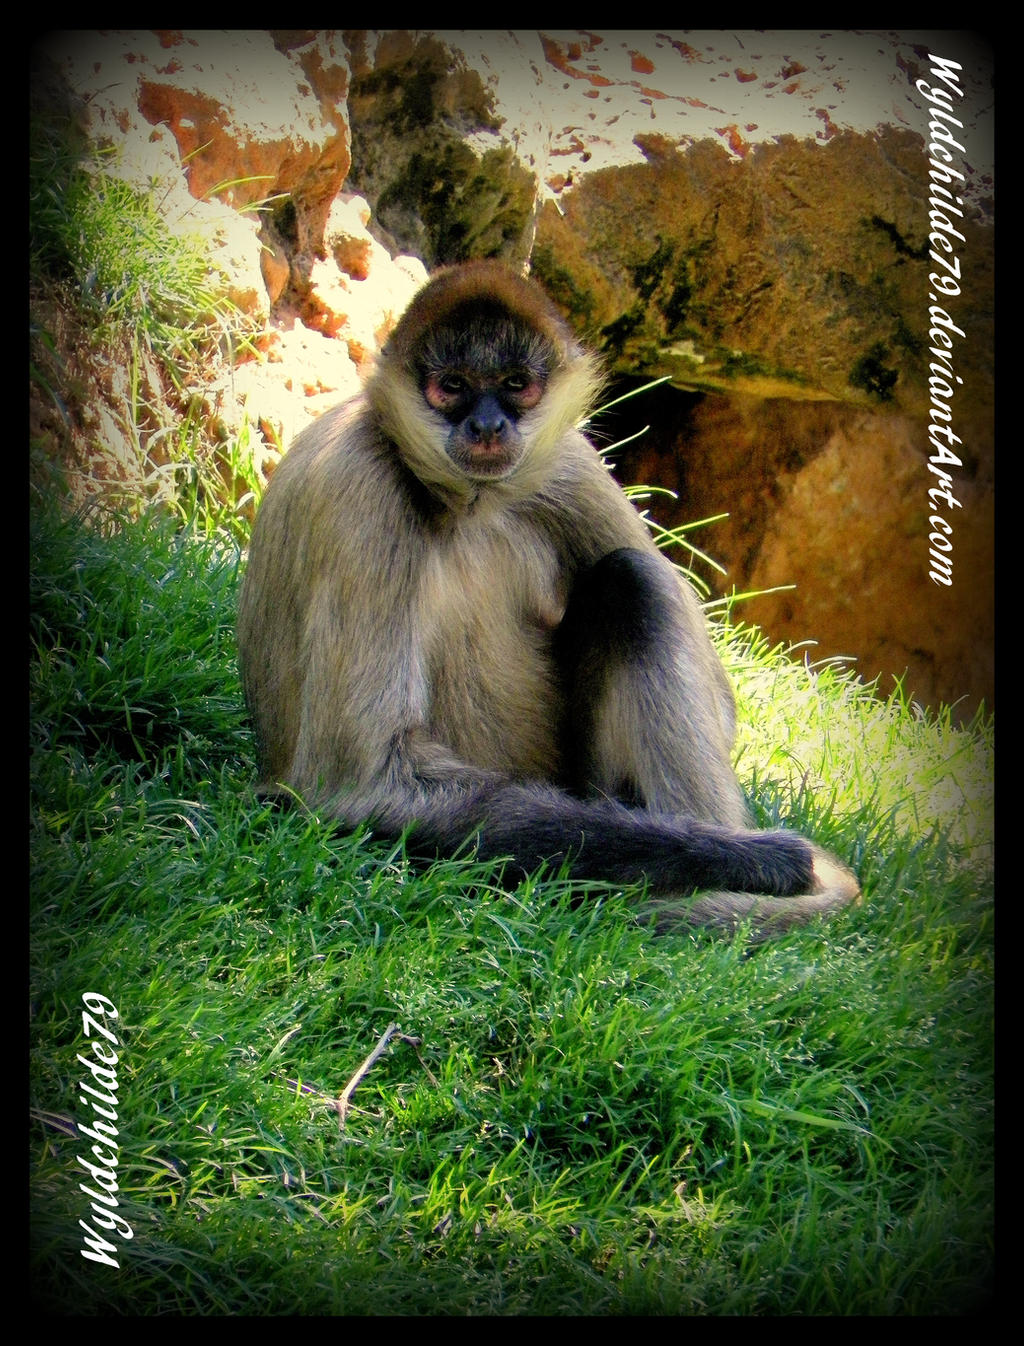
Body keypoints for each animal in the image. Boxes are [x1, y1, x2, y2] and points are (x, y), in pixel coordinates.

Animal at [237, 259, 860, 939]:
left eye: (516, 385)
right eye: (451, 386)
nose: (487, 425)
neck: (467, 501)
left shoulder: (567, 461)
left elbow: (721, 701)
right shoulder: (362, 485)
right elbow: (366, 783)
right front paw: (746, 858)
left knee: (631, 580)